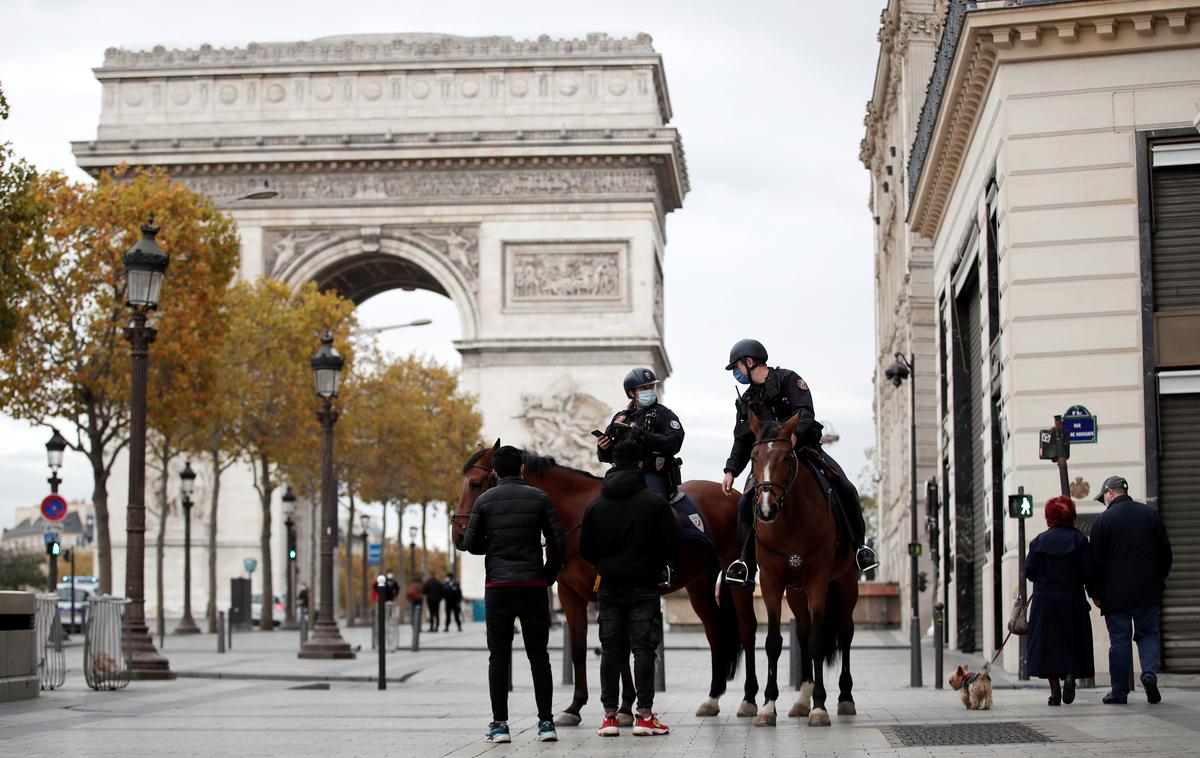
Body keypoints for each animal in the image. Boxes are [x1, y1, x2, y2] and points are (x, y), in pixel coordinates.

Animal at [451, 441, 758, 724]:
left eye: (476, 484)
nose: (458, 536)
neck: (575, 515)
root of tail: (733, 493)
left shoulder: (610, 591)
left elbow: (620, 648)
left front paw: (625, 707)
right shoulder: (570, 595)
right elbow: (578, 649)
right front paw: (575, 706)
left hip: (735, 575)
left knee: (746, 629)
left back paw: (750, 700)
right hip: (698, 582)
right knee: (715, 631)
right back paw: (712, 697)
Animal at [744, 412, 859, 729]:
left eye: (786, 457)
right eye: (754, 457)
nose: (766, 509)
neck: (790, 520)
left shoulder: (818, 582)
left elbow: (820, 641)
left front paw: (820, 707)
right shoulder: (771, 583)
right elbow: (774, 643)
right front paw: (768, 706)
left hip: (846, 583)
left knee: (844, 632)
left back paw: (844, 697)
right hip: (796, 593)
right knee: (804, 633)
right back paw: (802, 700)